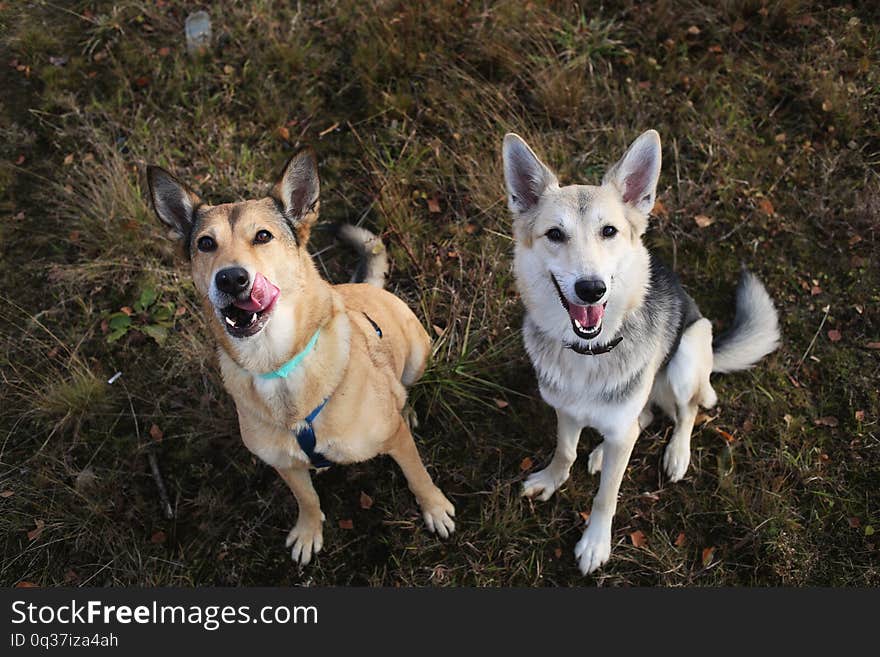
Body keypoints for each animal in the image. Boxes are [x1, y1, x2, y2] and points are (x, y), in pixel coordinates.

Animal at [147, 149, 454, 564]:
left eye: (263, 236)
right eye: (206, 243)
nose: (231, 279)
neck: (277, 366)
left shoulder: (396, 441)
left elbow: (418, 475)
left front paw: (434, 507)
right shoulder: (284, 465)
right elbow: (306, 498)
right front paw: (309, 531)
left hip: (418, 354)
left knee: (406, 390)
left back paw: (407, 408)